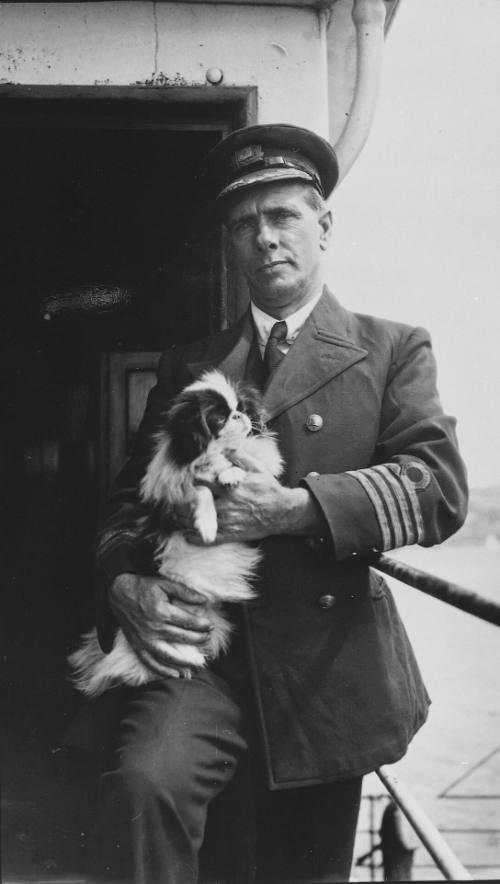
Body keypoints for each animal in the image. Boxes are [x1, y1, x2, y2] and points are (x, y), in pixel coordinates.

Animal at [69, 370, 286, 696]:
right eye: (219, 418)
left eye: (242, 409)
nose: (240, 416)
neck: (215, 452)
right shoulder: (173, 494)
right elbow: (200, 491)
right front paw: (208, 525)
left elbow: (240, 467)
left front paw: (231, 474)